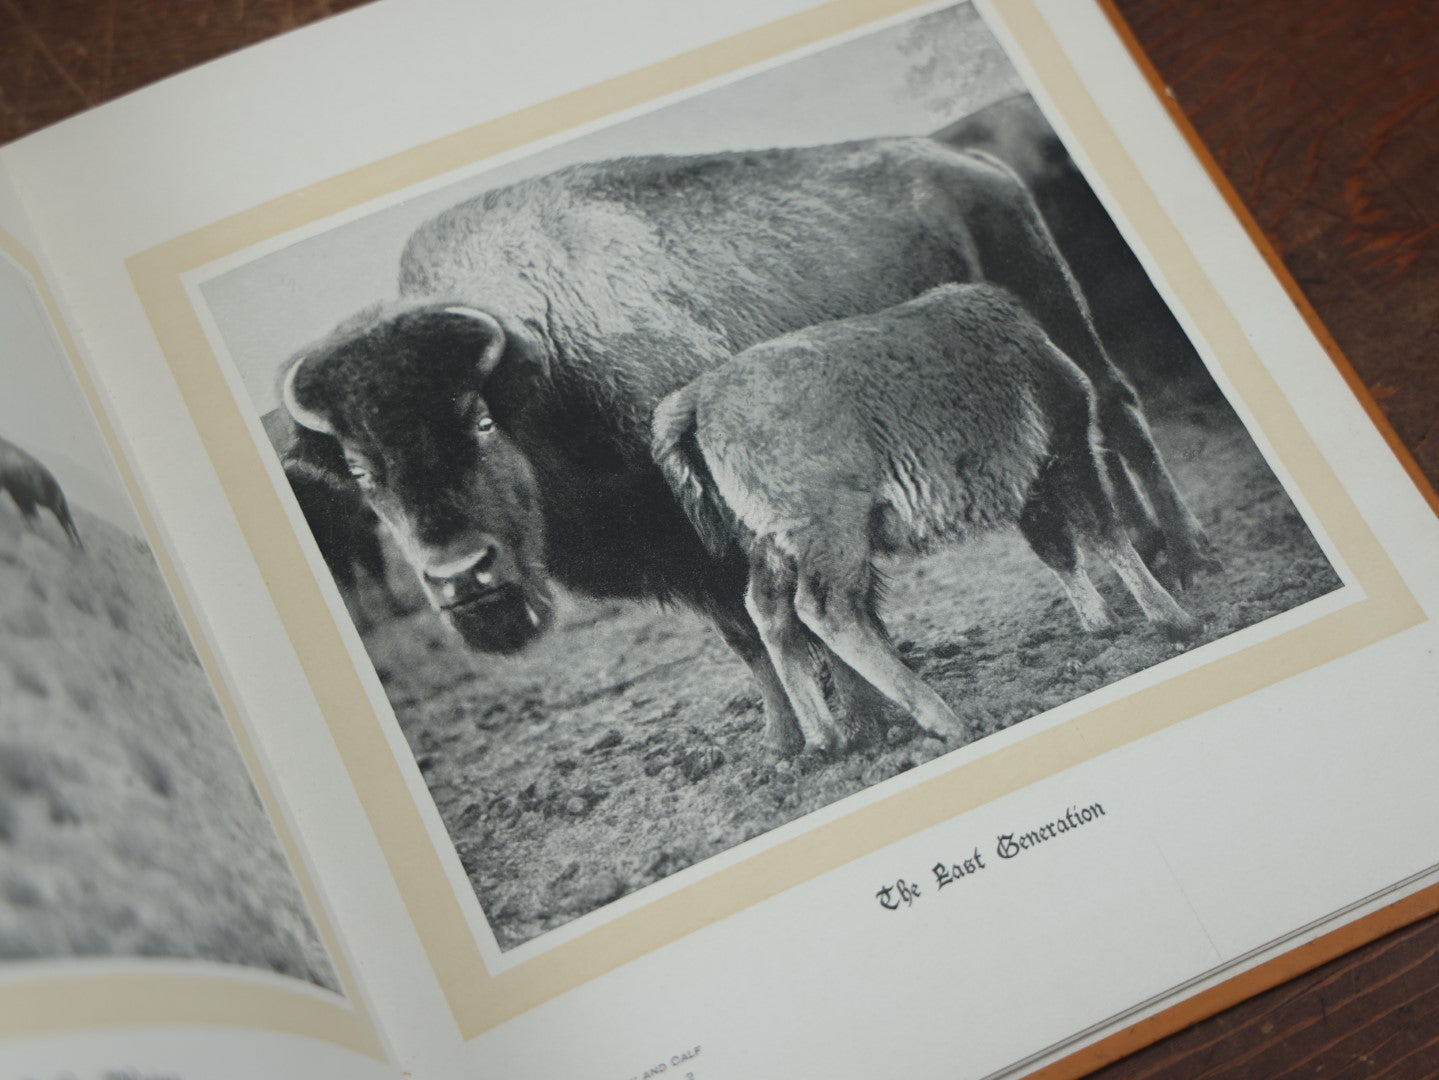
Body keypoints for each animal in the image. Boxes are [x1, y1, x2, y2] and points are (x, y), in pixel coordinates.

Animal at [659, 280, 1197, 753]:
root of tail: (698, 398)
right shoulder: (1065, 452)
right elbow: (1105, 532)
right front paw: (1173, 618)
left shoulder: (1030, 489)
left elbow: (1058, 550)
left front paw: (1102, 622)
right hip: (832, 534)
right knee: (827, 610)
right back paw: (942, 717)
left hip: (771, 545)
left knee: (769, 612)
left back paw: (824, 738)